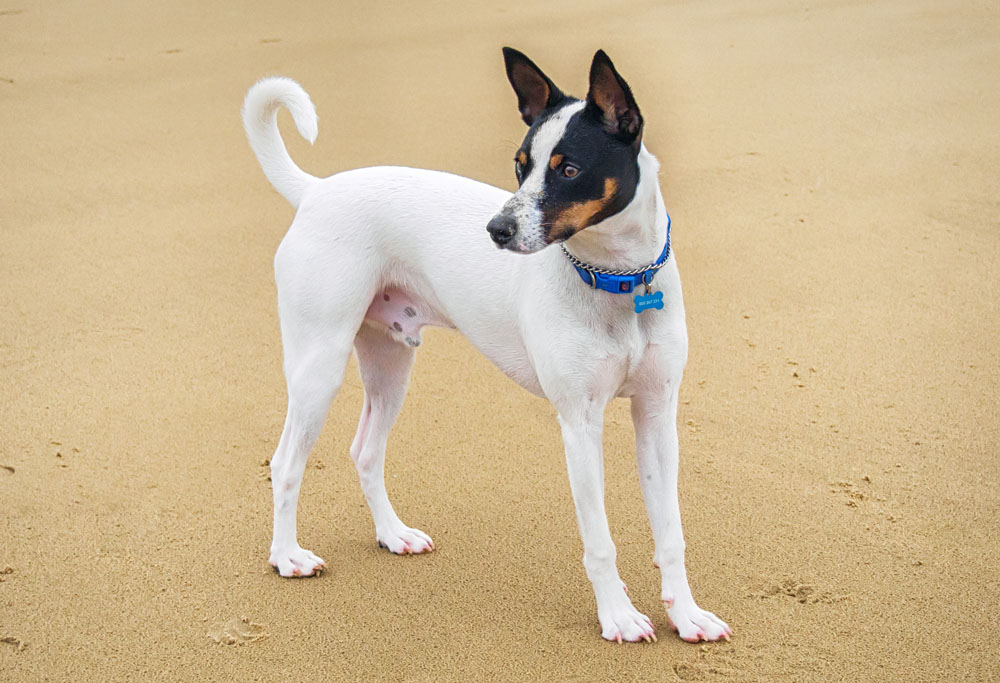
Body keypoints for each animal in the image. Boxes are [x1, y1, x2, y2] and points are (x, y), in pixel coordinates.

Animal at [238, 45, 732, 644]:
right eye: (520, 166)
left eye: (569, 169)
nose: (496, 229)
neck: (617, 281)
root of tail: (316, 190)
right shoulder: (579, 424)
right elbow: (599, 542)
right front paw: (617, 615)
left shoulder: (657, 416)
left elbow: (671, 534)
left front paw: (686, 614)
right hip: (320, 366)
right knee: (286, 461)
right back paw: (287, 556)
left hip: (390, 367)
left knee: (366, 451)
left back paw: (393, 534)